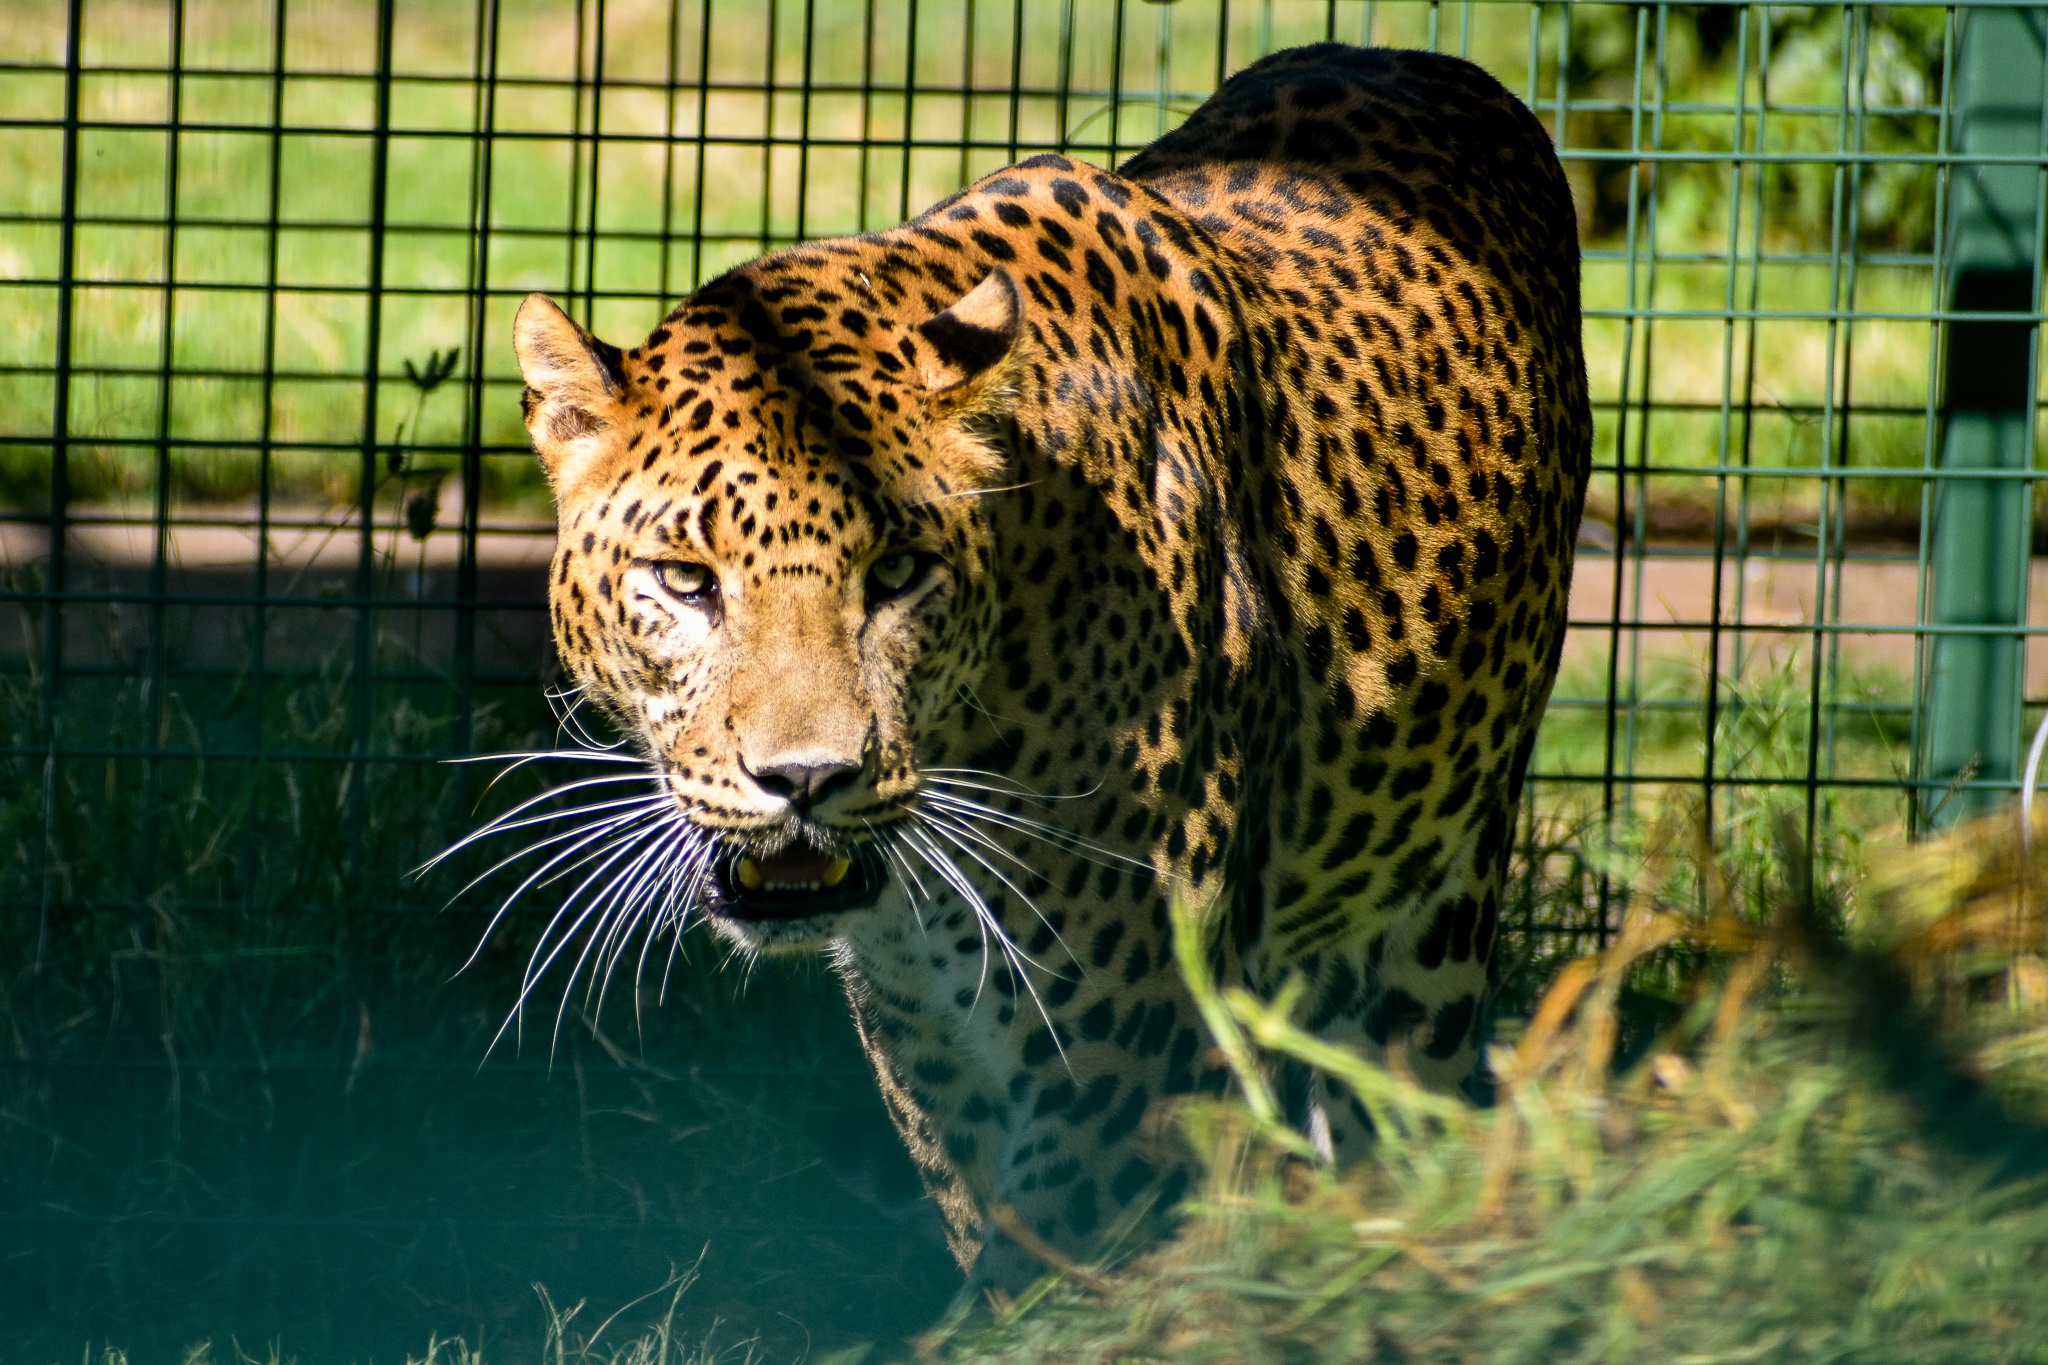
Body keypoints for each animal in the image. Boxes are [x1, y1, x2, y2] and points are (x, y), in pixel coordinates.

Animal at [504, 42, 1589, 1291]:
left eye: (898, 574)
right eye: (685, 581)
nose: (805, 780)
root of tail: (1412, 54)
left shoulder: (1125, 1057)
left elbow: (1069, 1266)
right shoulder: (931, 1045)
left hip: (1438, 913)